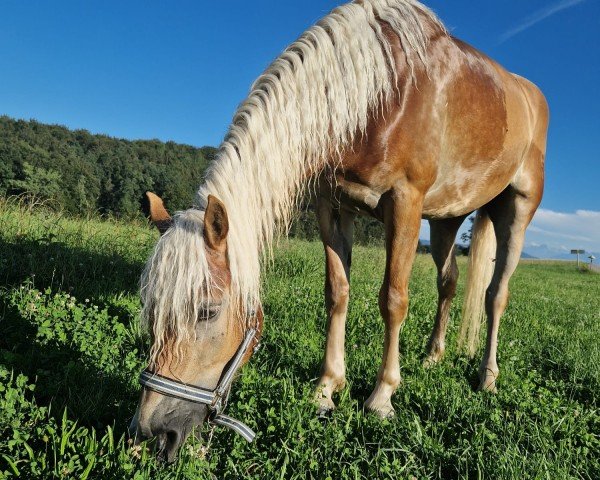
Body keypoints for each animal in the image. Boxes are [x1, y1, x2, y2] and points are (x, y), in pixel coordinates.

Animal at [127, 0, 548, 462]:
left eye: (208, 310)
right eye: (150, 307)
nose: (151, 432)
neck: (380, 94)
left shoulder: (405, 202)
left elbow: (393, 300)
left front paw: (382, 397)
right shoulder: (332, 206)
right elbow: (337, 293)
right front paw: (326, 388)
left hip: (516, 212)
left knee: (496, 295)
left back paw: (487, 376)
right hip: (445, 220)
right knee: (449, 281)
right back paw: (432, 357)